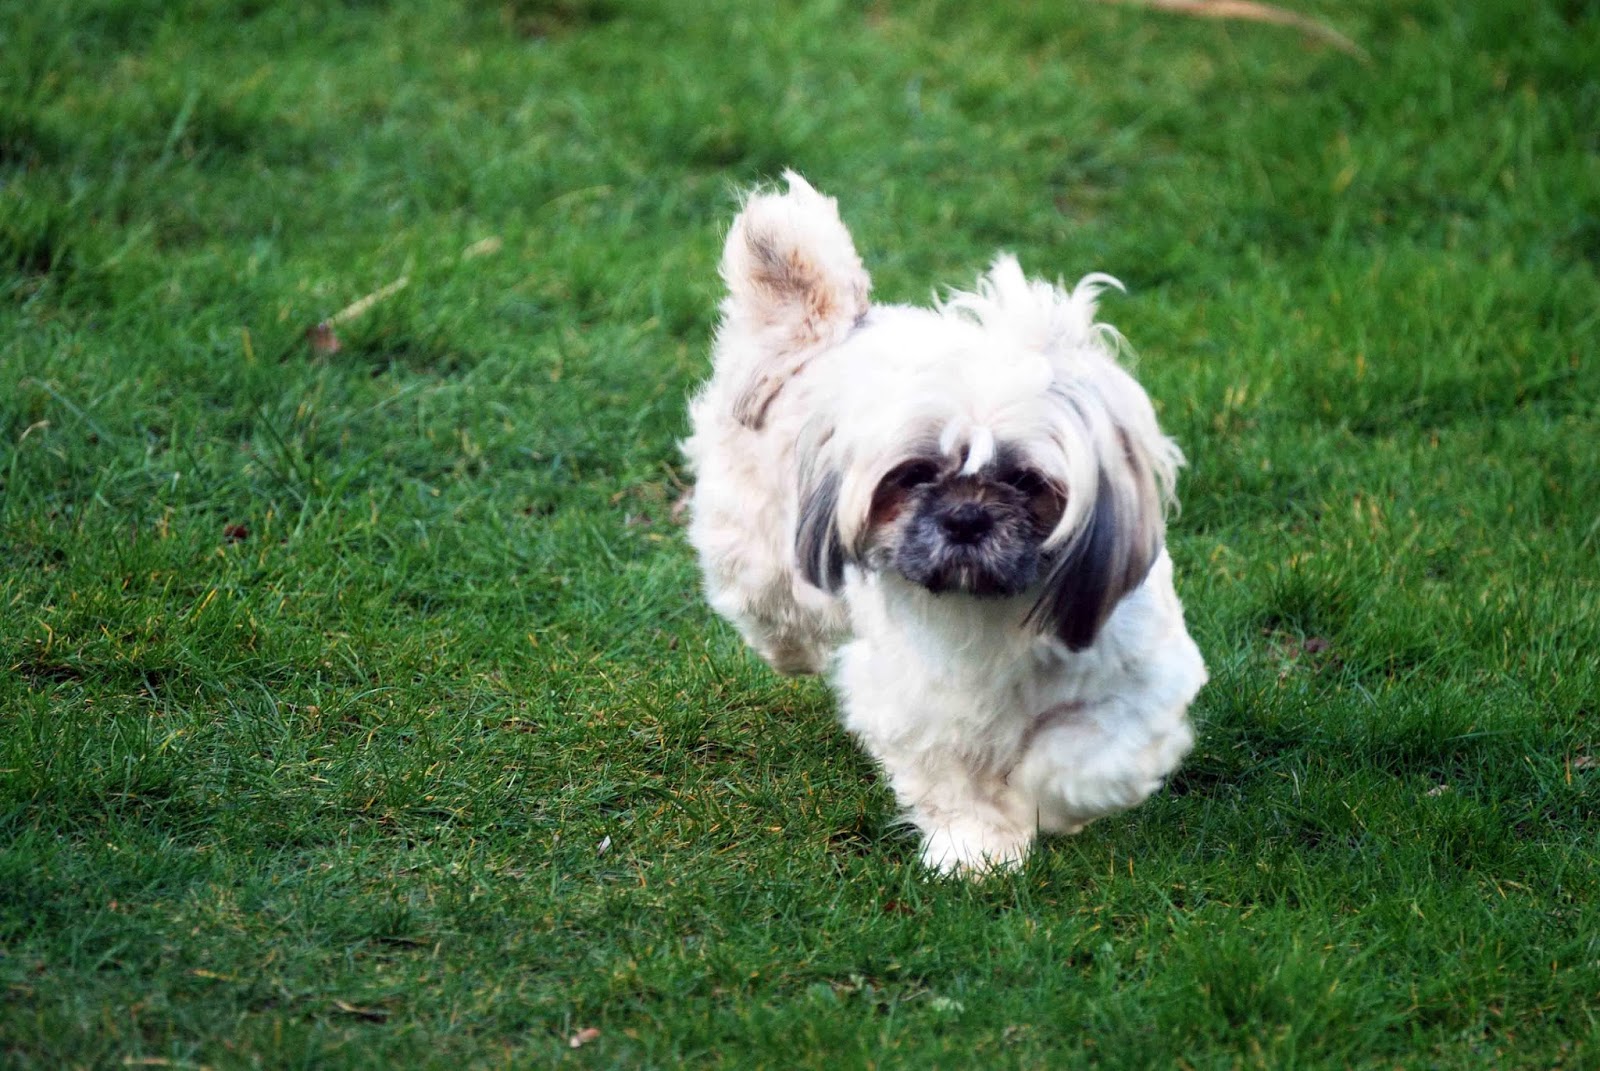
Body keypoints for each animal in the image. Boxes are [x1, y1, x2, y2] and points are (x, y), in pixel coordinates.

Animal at [682, 173, 1207, 875]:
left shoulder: (1139, 678)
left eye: (1027, 482)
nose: (965, 516)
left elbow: (1089, 755)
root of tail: (831, 329)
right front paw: (977, 849)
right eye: (912, 475)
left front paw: (1049, 801)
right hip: (759, 552)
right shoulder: (919, 705)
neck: (993, 613)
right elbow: (956, 782)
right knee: (771, 612)